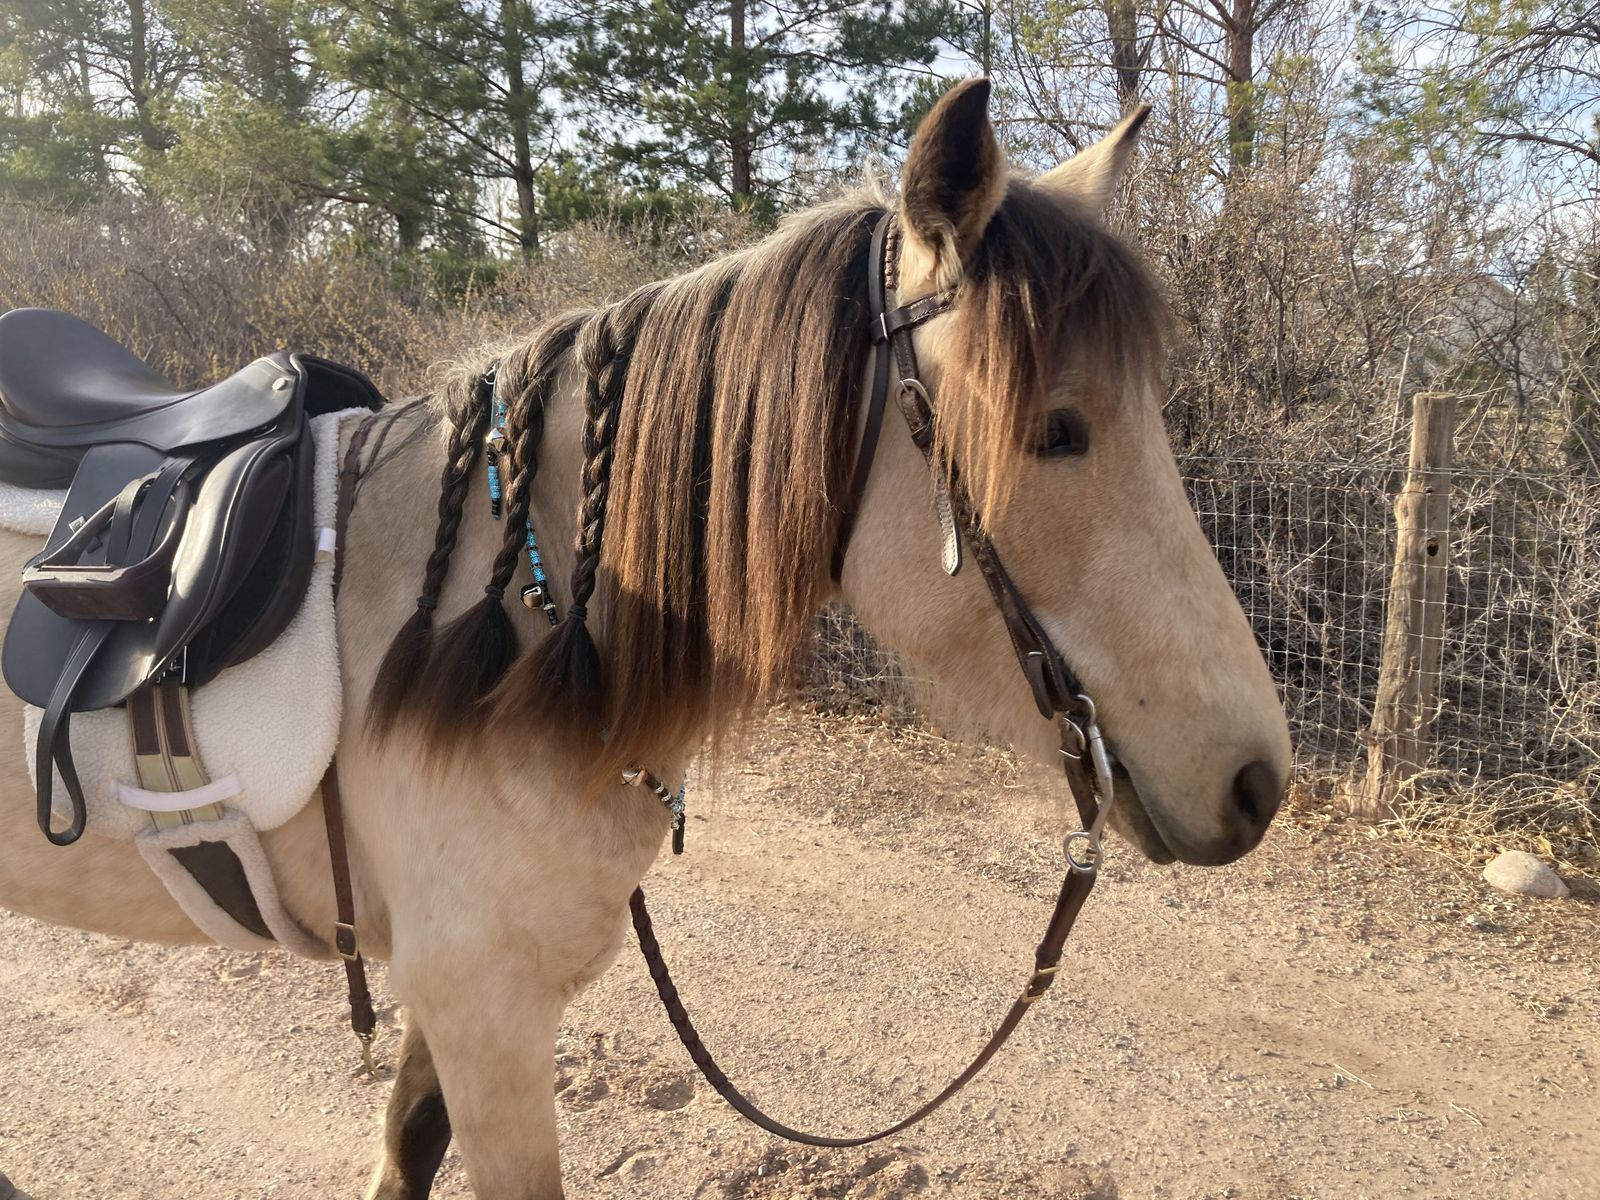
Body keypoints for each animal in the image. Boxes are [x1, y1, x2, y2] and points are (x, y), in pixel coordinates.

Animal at [0, 79, 1291, 1198]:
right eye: (1057, 430)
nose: (1257, 783)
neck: (498, 641)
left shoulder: (458, 1008)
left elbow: (404, 1155)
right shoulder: (483, 1014)